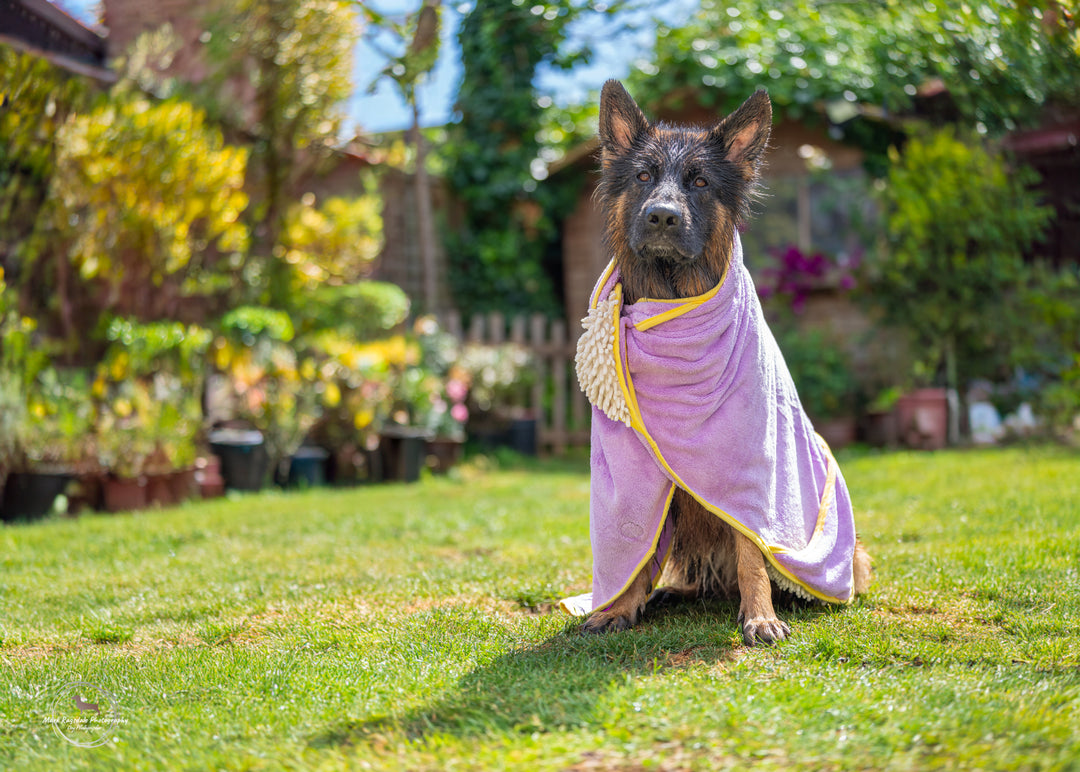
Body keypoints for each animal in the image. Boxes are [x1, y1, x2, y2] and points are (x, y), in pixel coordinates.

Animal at [583, 81, 868, 643]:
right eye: (643, 176)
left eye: (699, 182)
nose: (662, 216)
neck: (672, 305)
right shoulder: (635, 480)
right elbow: (636, 547)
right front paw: (619, 606)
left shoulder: (749, 477)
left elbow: (752, 551)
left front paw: (760, 616)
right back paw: (669, 593)